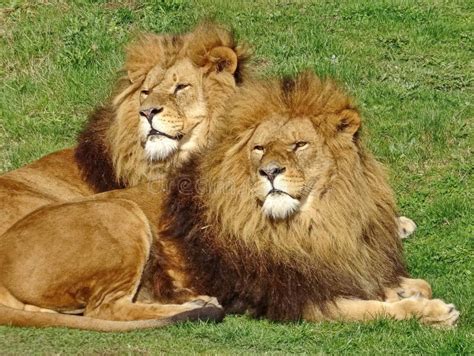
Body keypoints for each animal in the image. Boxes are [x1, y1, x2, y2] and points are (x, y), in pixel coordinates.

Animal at [0, 71, 456, 330]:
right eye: (259, 148)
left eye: (299, 145)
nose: (269, 172)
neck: (317, 221)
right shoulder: (289, 297)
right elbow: (373, 310)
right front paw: (430, 313)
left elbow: (402, 284)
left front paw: (412, 292)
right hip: (121, 213)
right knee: (104, 311)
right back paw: (197, 305)